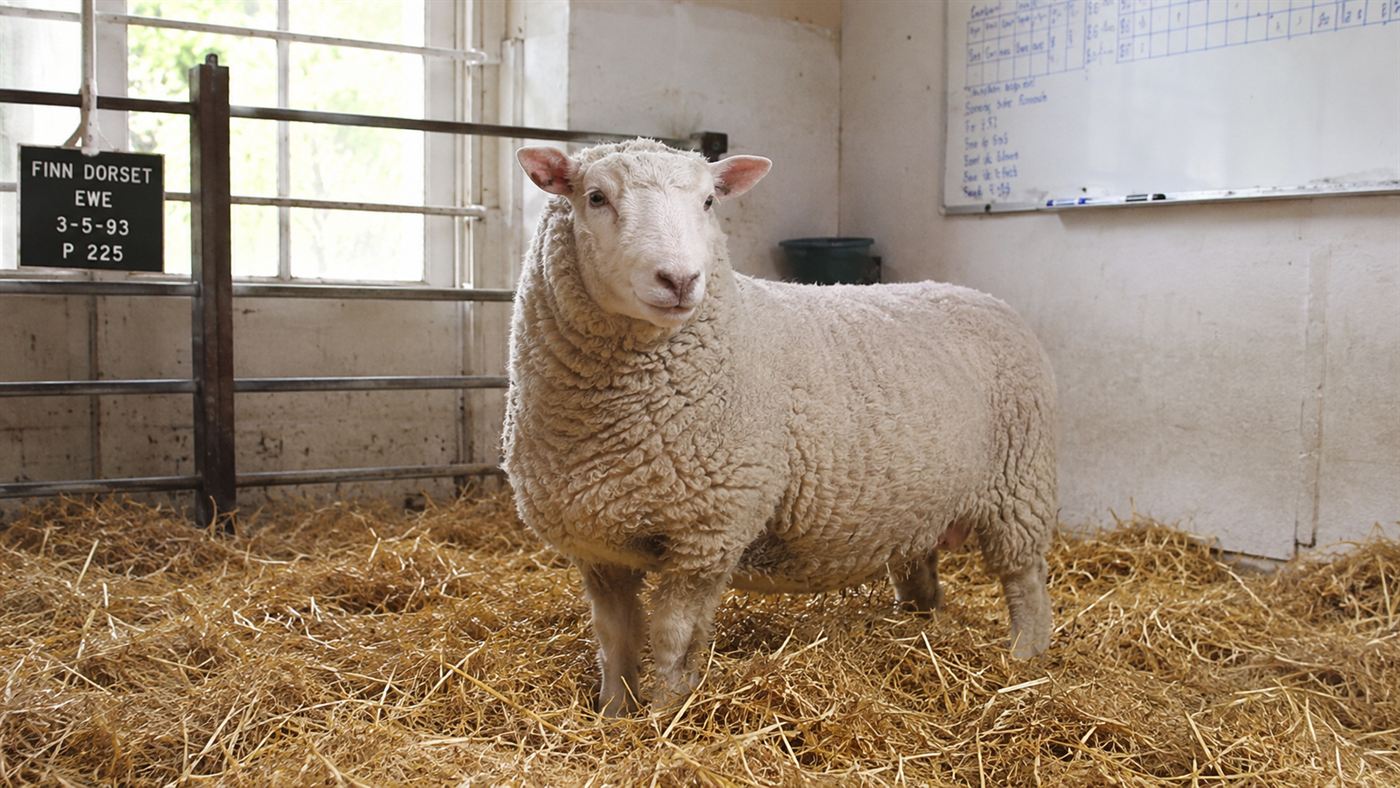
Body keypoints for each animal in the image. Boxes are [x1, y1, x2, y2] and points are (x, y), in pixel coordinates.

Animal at [502, 139, 1056, 715]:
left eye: (708, 202)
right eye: (595, 197)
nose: (679, 280)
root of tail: (983, 297)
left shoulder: (708, 533)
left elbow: (672, 637)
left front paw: (664, 713)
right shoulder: (597, 547)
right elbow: (615, 638)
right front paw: (613, 713)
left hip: (1020, 486)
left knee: (1025, 581)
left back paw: (1025, 658)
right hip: (921, 500)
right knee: (921, 570)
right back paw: (917, 625)